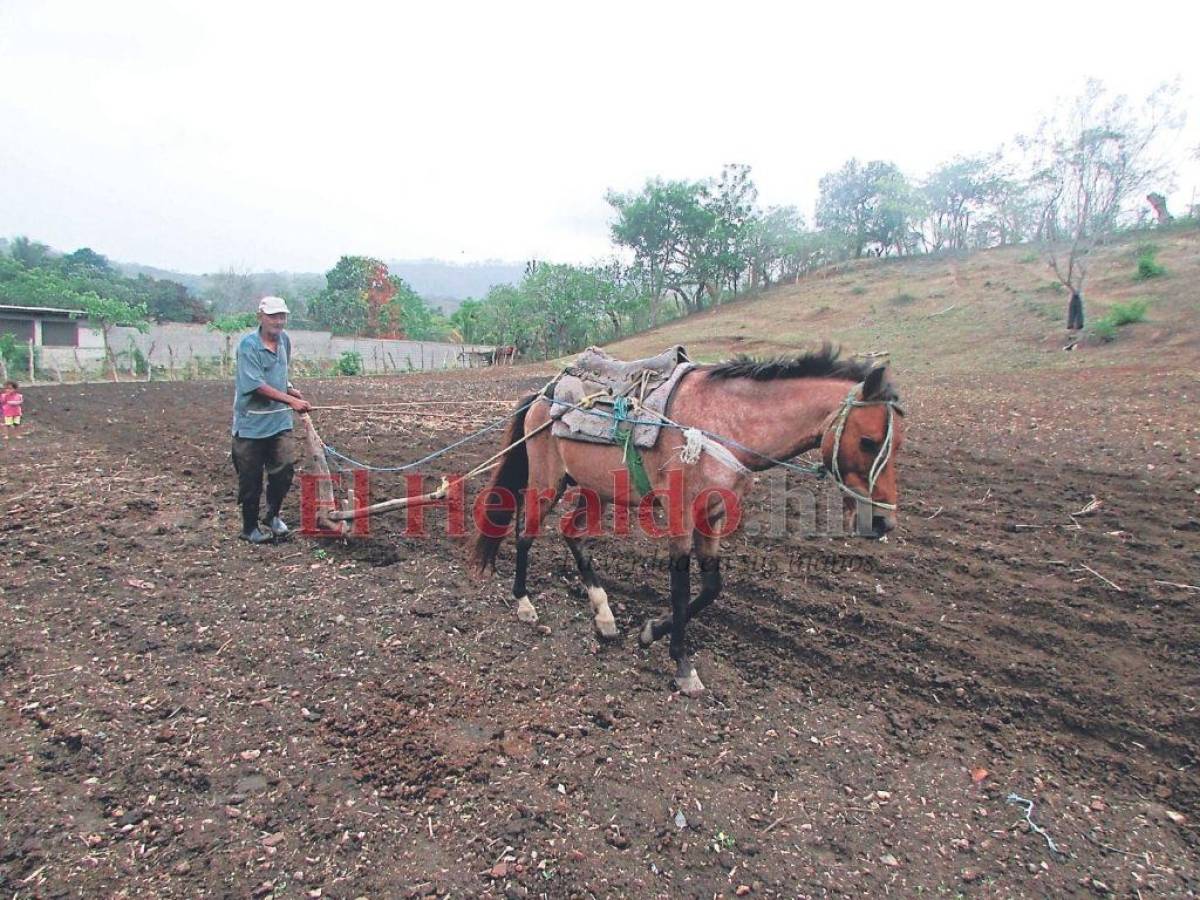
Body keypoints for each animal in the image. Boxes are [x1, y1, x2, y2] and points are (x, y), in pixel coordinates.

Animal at [463, 348, 902, 696]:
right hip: (547, 480)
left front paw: (650, 631)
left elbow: (710, 588)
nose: (882, 521)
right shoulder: (680, 515)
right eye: (868, 441)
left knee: (573, 534)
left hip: (596, 490)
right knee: (525, 534)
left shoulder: (713, 515)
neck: (723, 424)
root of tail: (544, 395)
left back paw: (605, 618)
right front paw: (682, 665)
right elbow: (680, 585)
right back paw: (524, 603)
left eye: (896, 444)